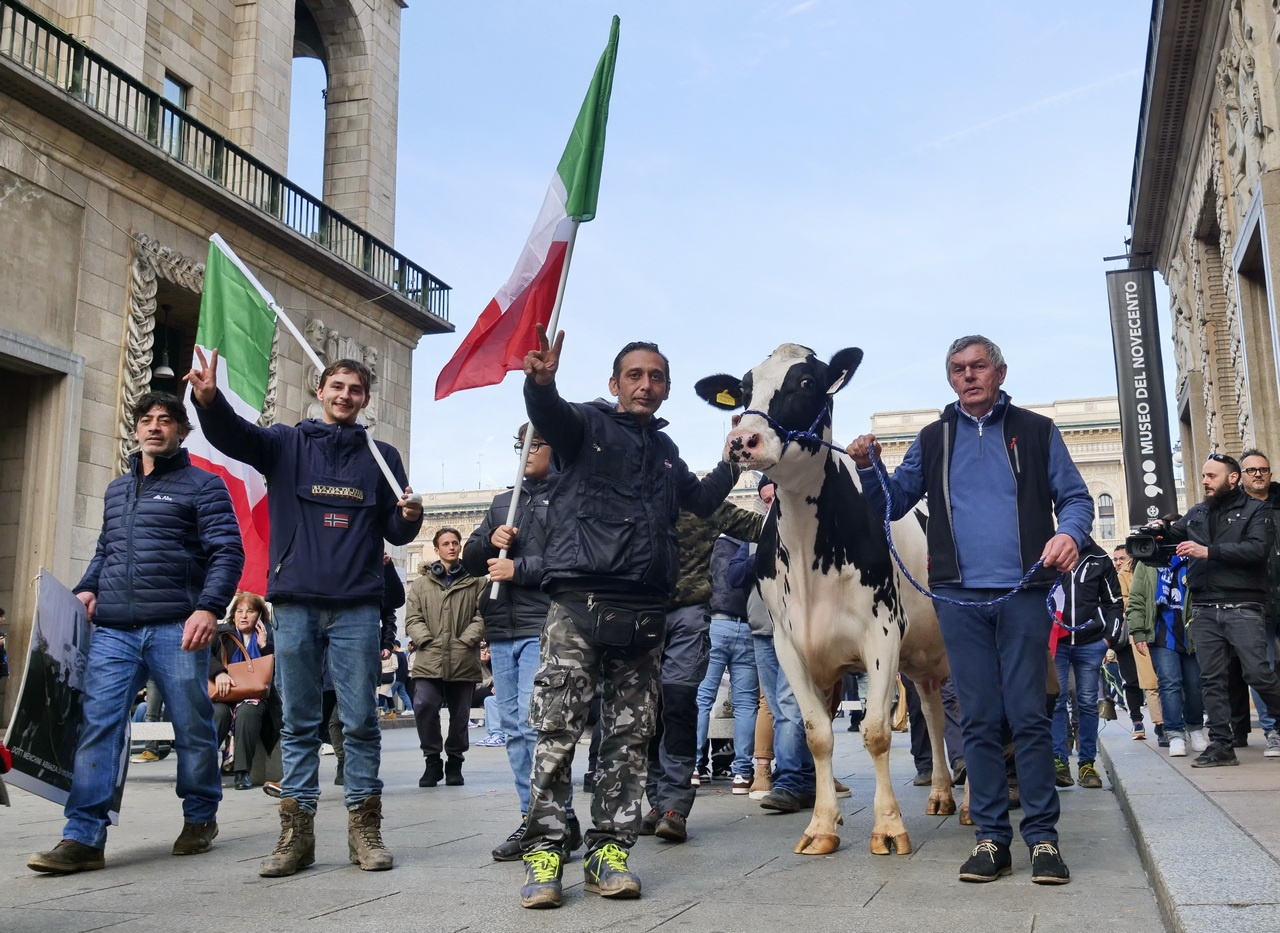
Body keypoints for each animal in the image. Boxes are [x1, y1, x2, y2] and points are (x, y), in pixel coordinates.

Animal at [701, 342, 952, 860]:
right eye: (745, 388)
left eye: (806, 383)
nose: (743, 441)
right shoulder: (788, 645)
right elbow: (816, 734)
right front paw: (821, 826)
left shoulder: (882, 632)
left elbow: (876, 731)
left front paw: (889, 827)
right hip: (922, 660)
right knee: (936, 717)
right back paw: (942, 793)